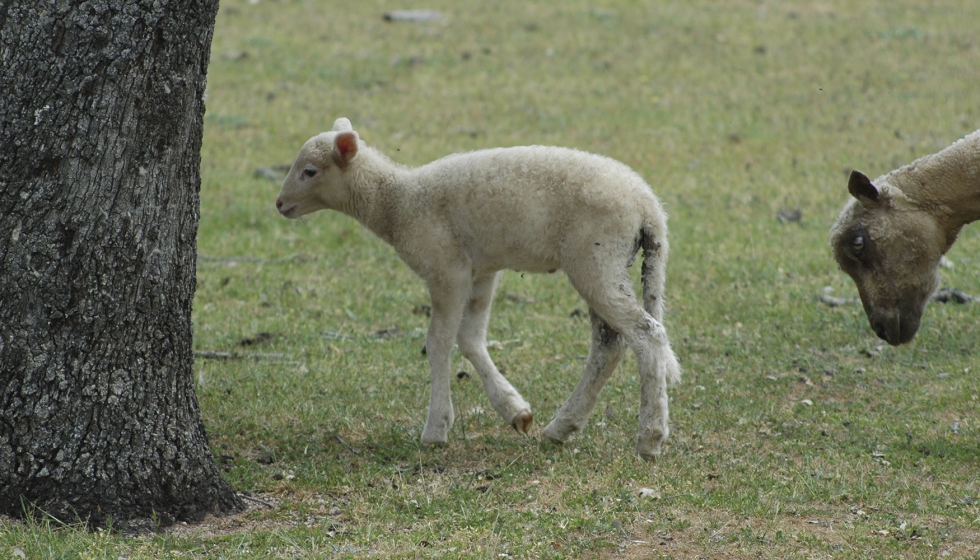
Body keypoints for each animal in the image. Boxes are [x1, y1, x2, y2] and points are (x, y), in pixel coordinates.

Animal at [276, 118, 680, 460]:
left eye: (309, 171)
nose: (279, 204)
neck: (398, 203)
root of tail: (650, 208)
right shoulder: (482, 271)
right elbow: (469, 337)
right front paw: (515, 410)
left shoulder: (446, 268)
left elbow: (438, 341)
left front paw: (435, 428)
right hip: (607, 263)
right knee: (609, 344)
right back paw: (561, 427)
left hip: (596, 257)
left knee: (647, 336)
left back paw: (650, 438)